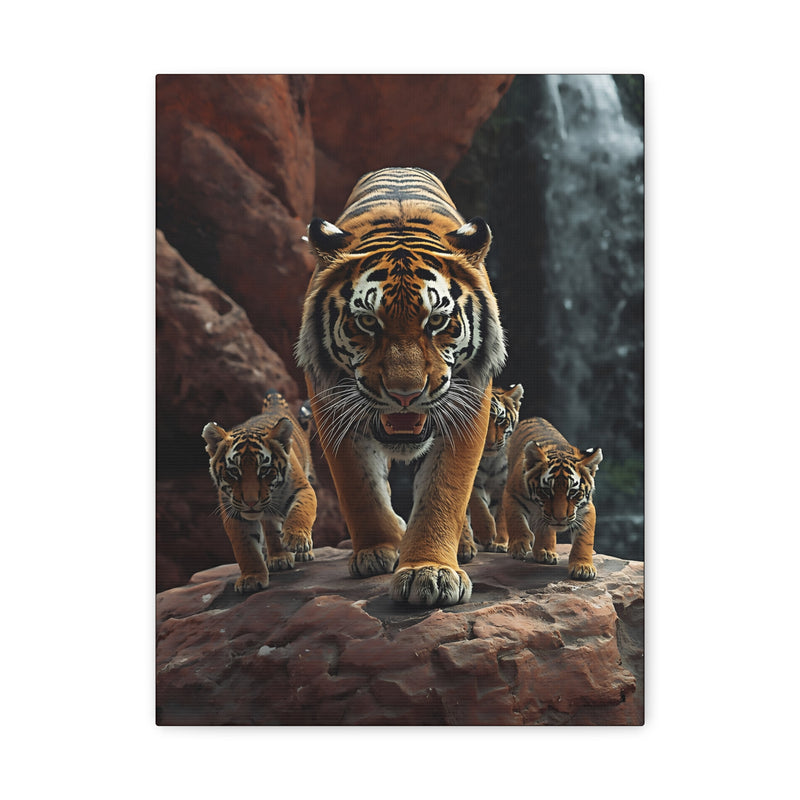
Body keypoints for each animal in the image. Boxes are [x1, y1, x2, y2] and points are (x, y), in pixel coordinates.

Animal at [201, 390, 316, 593]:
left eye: (264, 470)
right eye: (234, 471)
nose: (250, 502)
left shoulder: (302, 489)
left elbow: (300, 512)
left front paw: (297, 540)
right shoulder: (234, 512)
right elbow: (246, 548)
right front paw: (251, 578)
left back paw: (302, 552)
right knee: (271, 527)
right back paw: (279, 557)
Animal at [295, 167, 506, 606]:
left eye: (437, 321)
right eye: (367, 322)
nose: (405, 394)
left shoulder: (469, 405)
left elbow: (444, 491)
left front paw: (432, 571)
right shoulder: (331, 405)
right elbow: (359, 486)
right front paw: (377, 549)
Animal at [458, 383, 524, 560]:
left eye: (500, 420)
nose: (488, 443)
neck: (490, 461)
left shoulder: (503, 485)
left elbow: (501, 514)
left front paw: (500, 542)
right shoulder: (473, 480)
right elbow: (479, 504)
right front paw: (485, 532)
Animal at [502, 416, 602, 580]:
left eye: (573, 492)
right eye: (546, 491)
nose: (560, 518)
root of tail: (533, 417)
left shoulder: (586, 508)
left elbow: (584, 539)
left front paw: (583, 567)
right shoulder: (512, 494)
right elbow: (515, 519)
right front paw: (519, 545)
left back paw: (546, 552)